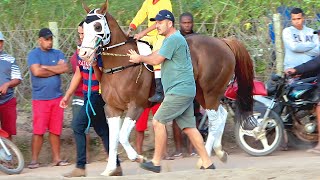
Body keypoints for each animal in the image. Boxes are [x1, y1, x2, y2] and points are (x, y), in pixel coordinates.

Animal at [79, 0, 254, 174]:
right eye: (84, 27)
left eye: (97, 26)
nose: (83, 54)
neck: (122, 64)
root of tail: (223, 42)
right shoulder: (112, 109)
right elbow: (113, 139)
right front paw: (110, 169)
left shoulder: (136, 105)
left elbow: (121, 136)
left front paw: (139, 157)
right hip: (202, 94)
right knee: (221, 115)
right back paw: (219, 151)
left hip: (210, 91)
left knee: (214, 121)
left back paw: (204, 159)